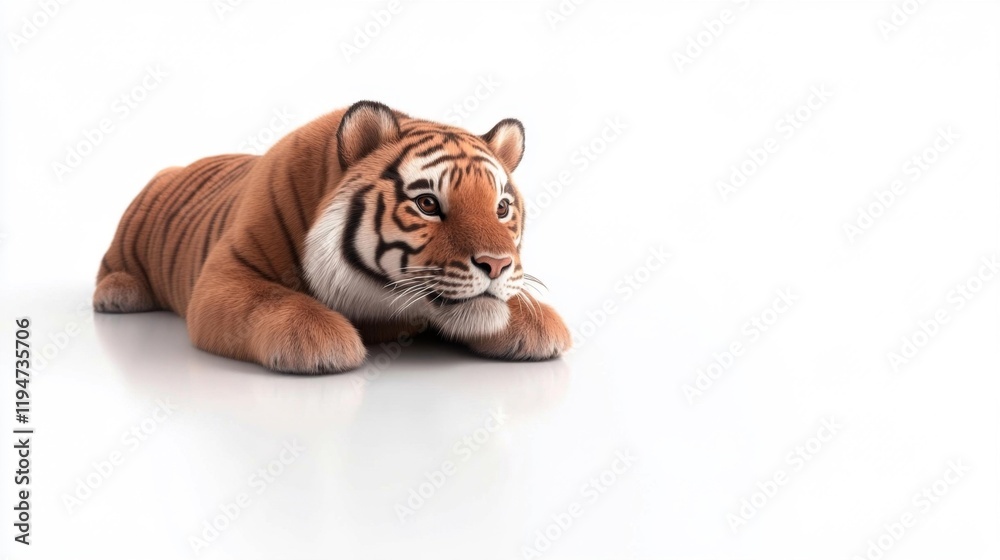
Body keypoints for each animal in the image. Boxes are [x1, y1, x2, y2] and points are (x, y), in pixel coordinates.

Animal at [94, 100, 571, 373]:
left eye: (501, 208)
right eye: (428, 204)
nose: (497, 264)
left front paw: (539, 323)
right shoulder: (225, 276)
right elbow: (273, 300)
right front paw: (321, 341)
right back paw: (117, 295)